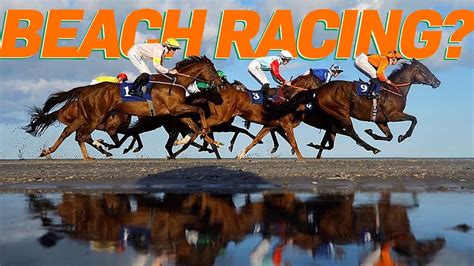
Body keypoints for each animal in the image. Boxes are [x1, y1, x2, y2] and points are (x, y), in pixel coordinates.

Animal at [26, 55, 223, 160]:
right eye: (212, 69)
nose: (221, 83)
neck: (175, 83)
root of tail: (85, 89)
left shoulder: (177, 112)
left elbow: (194, 126)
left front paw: (210, 140)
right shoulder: (176, 109)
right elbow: (198, 113)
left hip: (84, 117)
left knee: (68, 133)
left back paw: (49, 151)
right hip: (95, 117)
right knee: (81, 136)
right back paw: (92, 155)